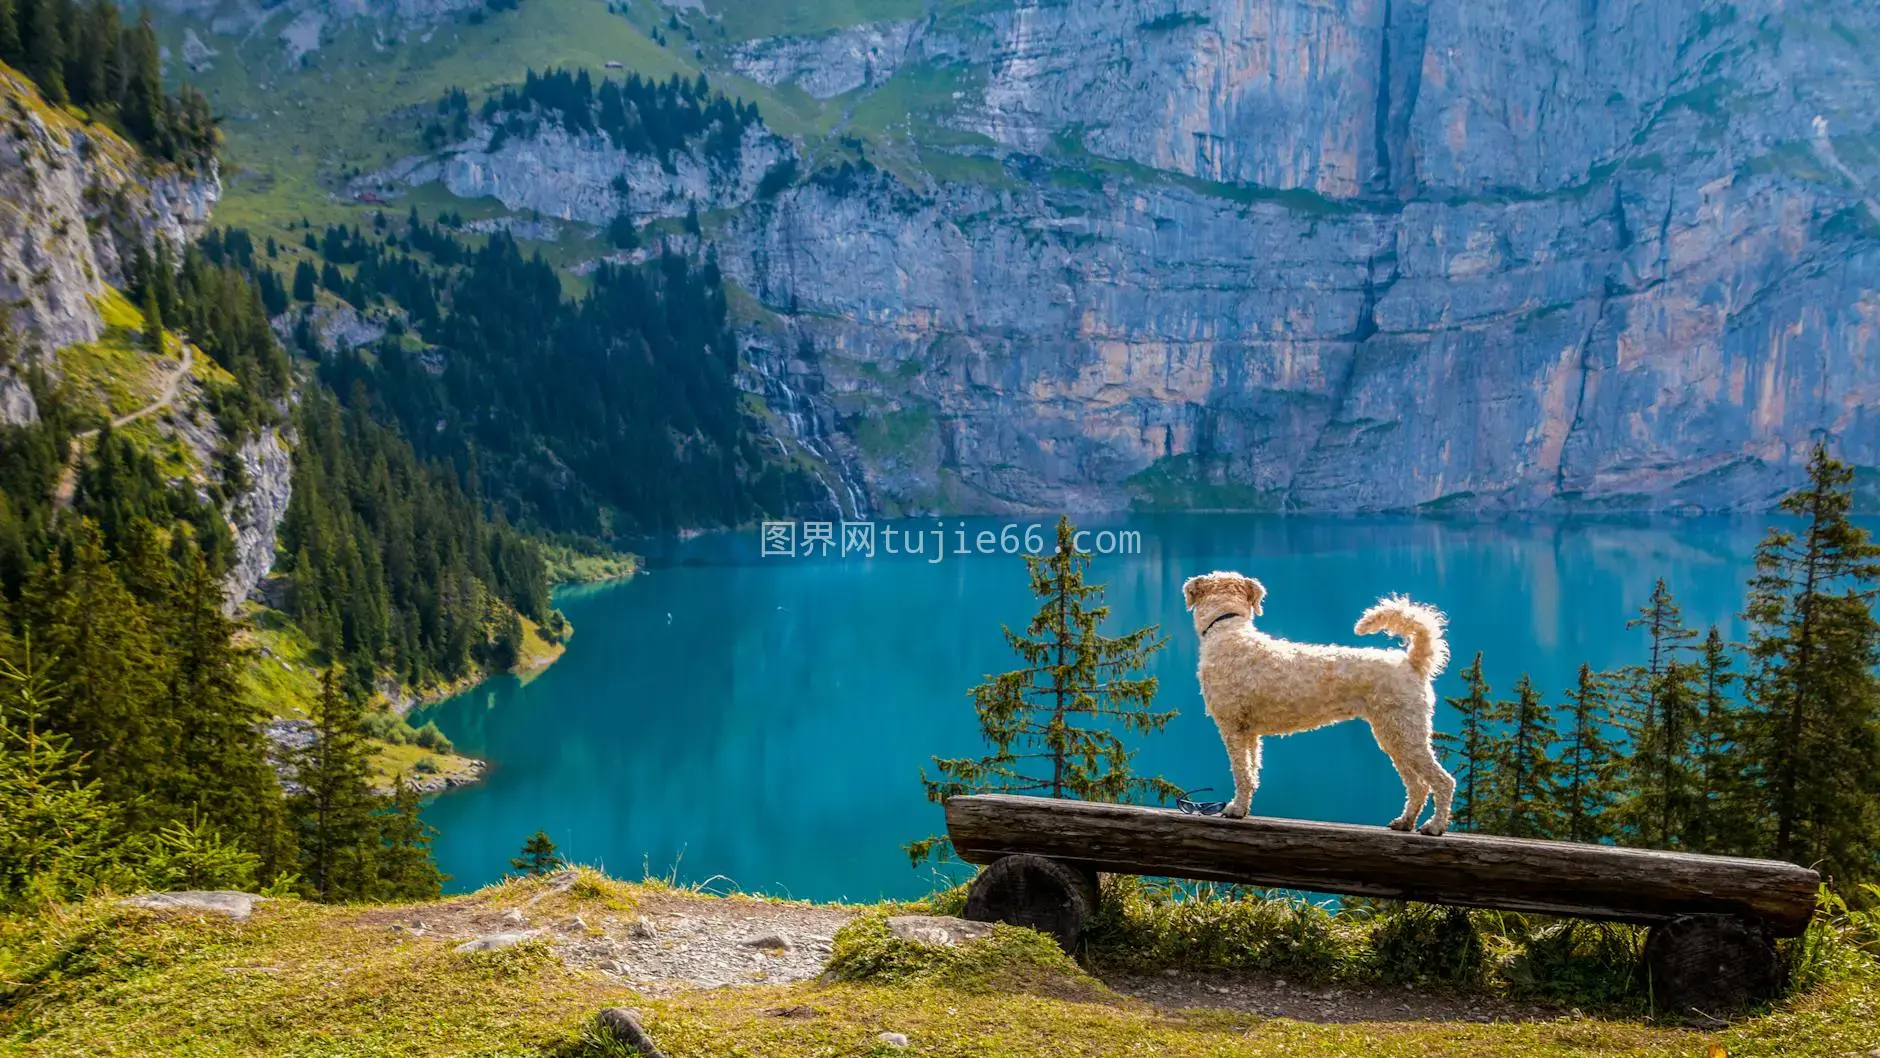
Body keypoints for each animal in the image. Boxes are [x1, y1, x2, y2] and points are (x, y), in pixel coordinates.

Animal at [1180, 575, 1458, 841]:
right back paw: (1405, 822)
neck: (1227, 631)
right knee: (1418, 784)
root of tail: (1412, 663)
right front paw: (1243, 807)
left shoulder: (1232, 727)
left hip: (1405, 733)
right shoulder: (1249, 733)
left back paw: (1434, 826)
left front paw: (1236, 809)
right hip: (1394, 736)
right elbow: (1251, 771)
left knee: (1443, 781)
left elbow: (1241, 773)